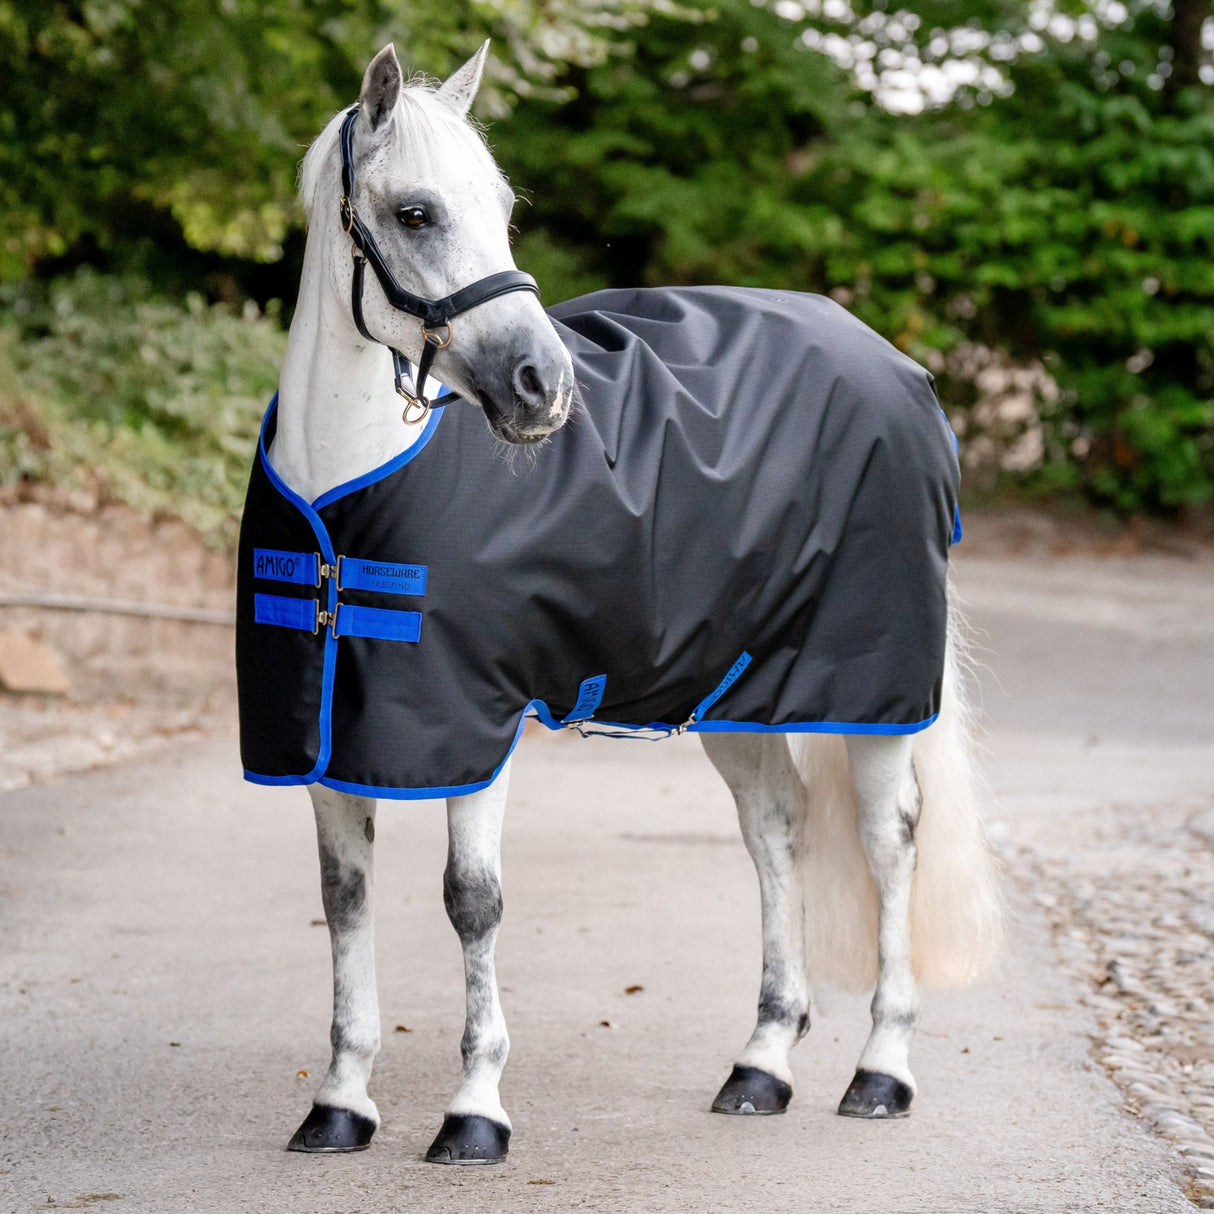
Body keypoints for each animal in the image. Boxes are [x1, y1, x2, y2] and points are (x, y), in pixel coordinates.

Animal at [235, 41, 1003, 1165]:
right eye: (416, 211)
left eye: (504, 206)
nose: (542, 385)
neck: (346, 494)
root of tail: (899, 368)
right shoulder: (330, 737)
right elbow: (345, 902)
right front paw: (340, 1101)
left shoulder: (479, 724)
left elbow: (472, 902)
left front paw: (475, 1109)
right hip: (737, 692)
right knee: (775, 830)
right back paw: (761, 1064)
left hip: (872, 691)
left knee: (887, 839)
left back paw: (880, 1070)